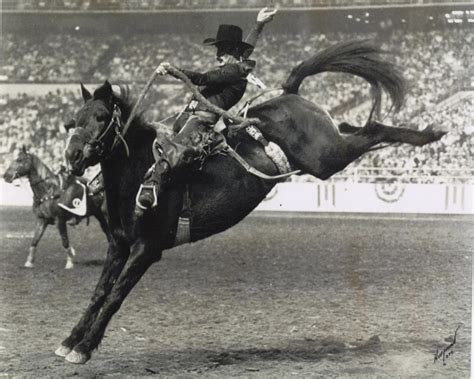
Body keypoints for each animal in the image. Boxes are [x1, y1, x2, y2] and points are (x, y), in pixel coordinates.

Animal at [57, 40, 446, 364]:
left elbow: (115, 296)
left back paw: (432, 133)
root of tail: (289, 93)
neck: (141, 171)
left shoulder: (147, 248)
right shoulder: (119, 244)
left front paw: (85, 347)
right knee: (359, 129)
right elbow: (99, 293)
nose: (72, 156)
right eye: (73, 120)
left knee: (374, 130)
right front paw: (70, 341)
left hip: (327, 158)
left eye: (101, 117)